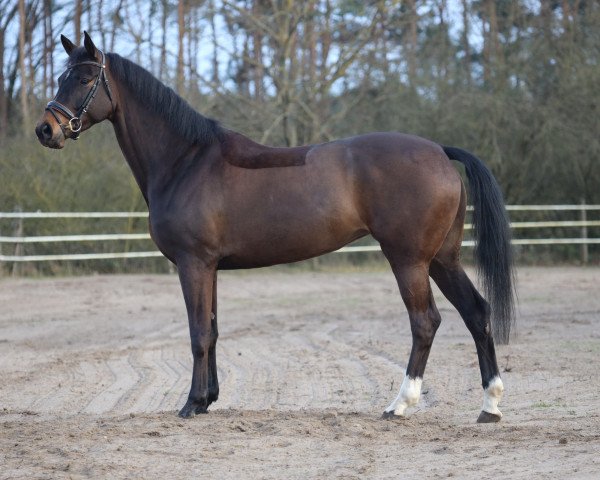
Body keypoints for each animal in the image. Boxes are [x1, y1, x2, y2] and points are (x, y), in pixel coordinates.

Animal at [34, 33, 516, 422]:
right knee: (477, 313)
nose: (45, 130)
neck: (185, 160)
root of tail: (438, 150)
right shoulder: (210, 268)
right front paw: (208, 399)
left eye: (84, 79)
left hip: (408, 259)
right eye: (61, 76)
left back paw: (400, 404)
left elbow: (197, 333)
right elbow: (213, 329)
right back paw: (489, 406)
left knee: (425, 322)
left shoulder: (193, 264)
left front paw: (191, 404)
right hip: (442, 259)